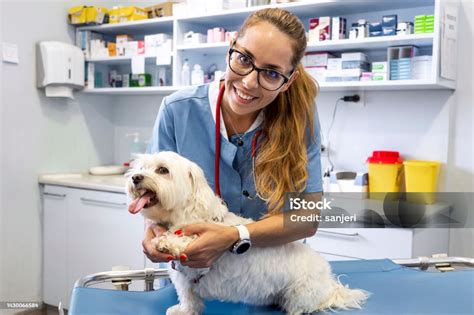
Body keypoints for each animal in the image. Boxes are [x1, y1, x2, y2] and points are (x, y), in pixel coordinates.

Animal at [127, 152, 370, 314]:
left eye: (162, 170)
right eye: (141, 167)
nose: (135, 177)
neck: (182, 213)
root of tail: (329, 284)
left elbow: (186, 239)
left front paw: (169, 242)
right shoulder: (184, 279)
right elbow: (188, 297)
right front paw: (184, 311)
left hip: (300, 291)